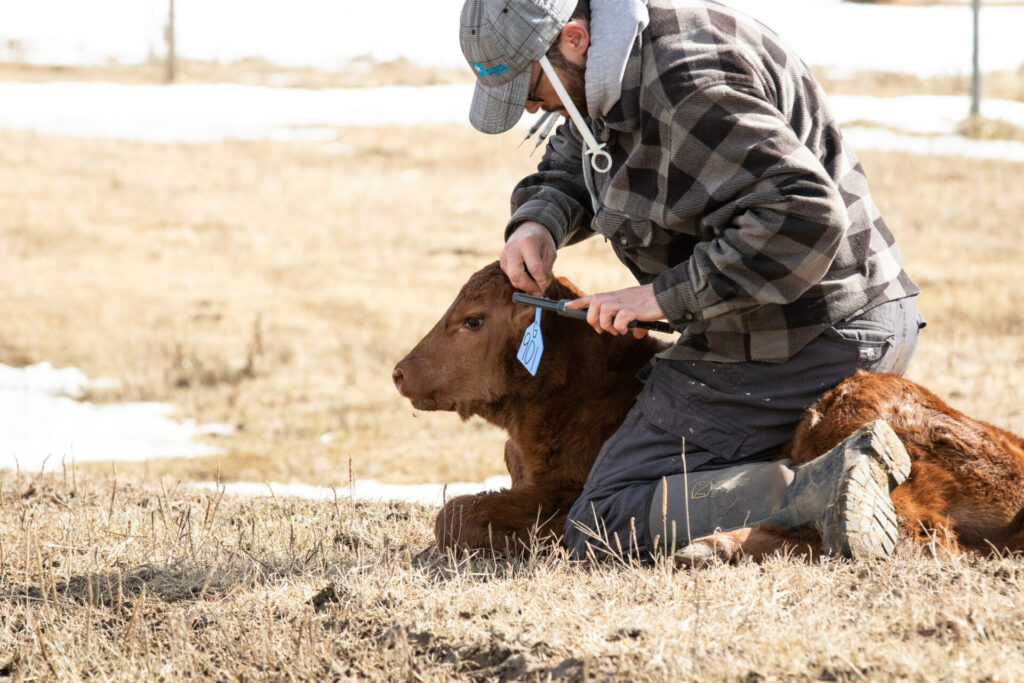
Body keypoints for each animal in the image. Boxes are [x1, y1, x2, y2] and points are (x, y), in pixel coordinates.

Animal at [393, 264, 1024, 557]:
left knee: (910, 534)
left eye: (473, 320)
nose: (399, 371)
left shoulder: (562, 493)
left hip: (846, 413)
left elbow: (456, 513)